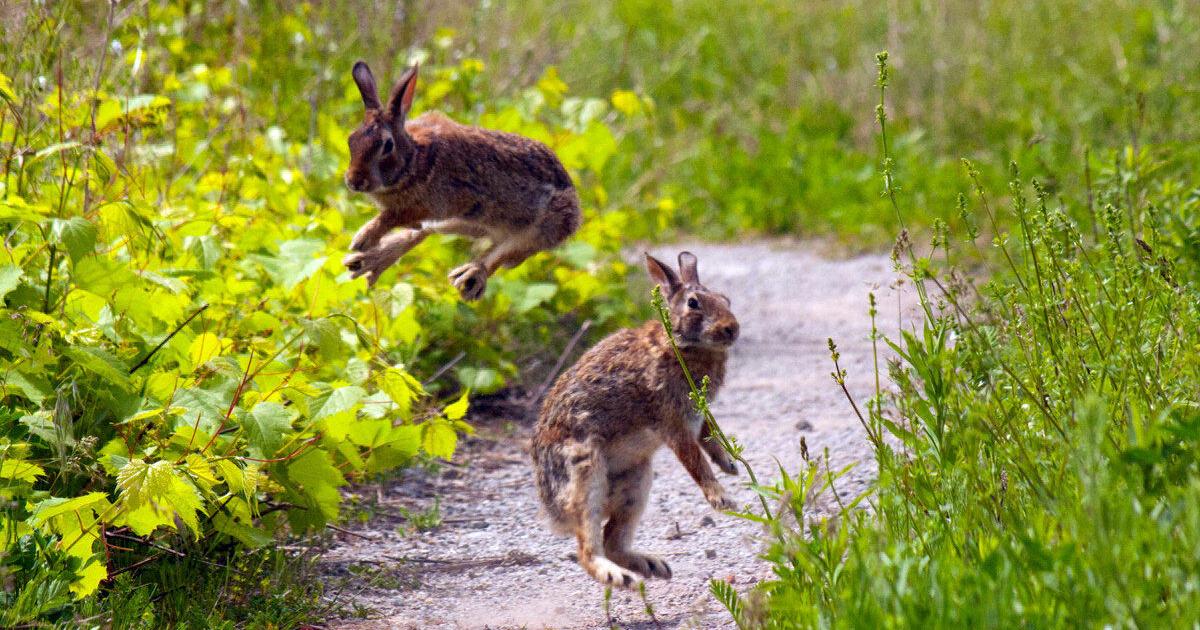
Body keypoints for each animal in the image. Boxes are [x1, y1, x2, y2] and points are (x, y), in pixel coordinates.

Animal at [341, 61, 581, 300]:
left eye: (387, 145)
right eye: (351, 140)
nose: (354, 181)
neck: (414, 160)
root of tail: (576, 211)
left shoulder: (436, 203)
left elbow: (392, 216)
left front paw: (363, 238)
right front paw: (364, 244)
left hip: (538, 228)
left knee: (499, 255)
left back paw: (469, 276)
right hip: (468, 222)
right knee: (425, 232)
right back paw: (368, 263)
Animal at [531, 251, 741, 589]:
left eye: (725, 299)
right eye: (693, 303)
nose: (731, 329)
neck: (680, 345)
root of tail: (552, 509)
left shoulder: (697, 414)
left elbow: (709, 437)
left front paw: (730, 465)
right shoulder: (673, 421)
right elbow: (695, 460)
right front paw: (722, 499)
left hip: (637, 480)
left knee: (613, 540)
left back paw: (652, 566)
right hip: (586, 472)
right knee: (588, 546)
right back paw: (616, 576)